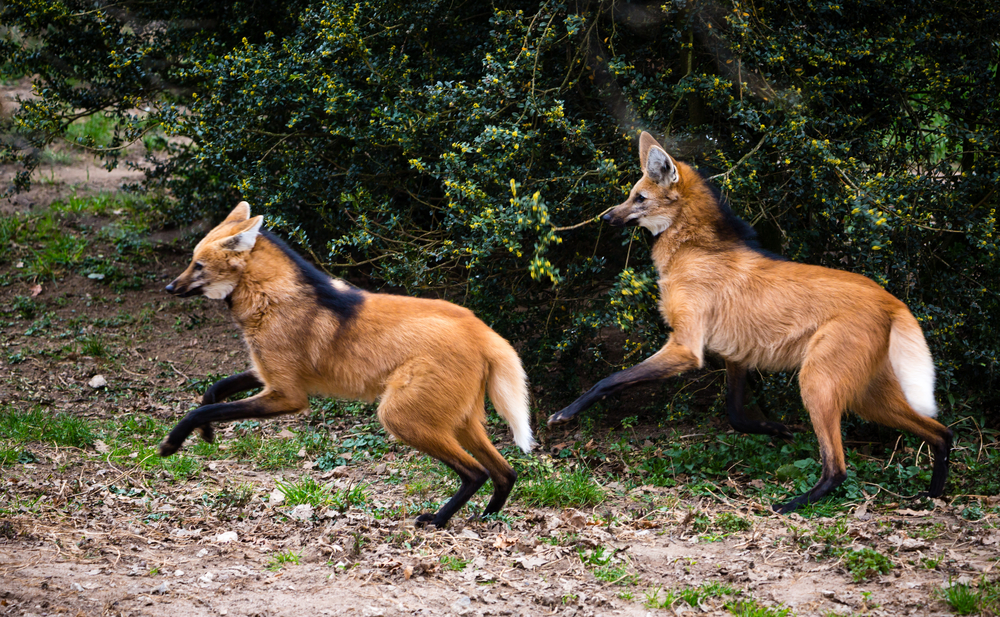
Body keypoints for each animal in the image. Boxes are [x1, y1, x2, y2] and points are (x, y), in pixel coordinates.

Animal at [160, 201, 536, 527]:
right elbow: (214, 391)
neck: (271, 298)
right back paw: (487, 517)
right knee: (505, 472)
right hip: (458, 421)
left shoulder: (288, 395)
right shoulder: (269, 376)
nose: (169, 286)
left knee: (476, 472)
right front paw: (206, 434)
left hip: (401, 416)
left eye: (198, 265)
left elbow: (202, 409)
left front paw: (172, 443)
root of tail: (483, 331)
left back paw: (438, 520)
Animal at [548, 131, 952, 513]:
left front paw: (564, 414)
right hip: (868, 396)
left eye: (640, 198)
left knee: (838, 467)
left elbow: (609, 380)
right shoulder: (735, 355)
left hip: (818, 382)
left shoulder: (686, 347)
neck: (692, 249)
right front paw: (778, 429)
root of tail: (891, 299)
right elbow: (736, 415)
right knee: (941, 432)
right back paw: (932, 496)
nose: (605, 218)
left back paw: (791, 505)